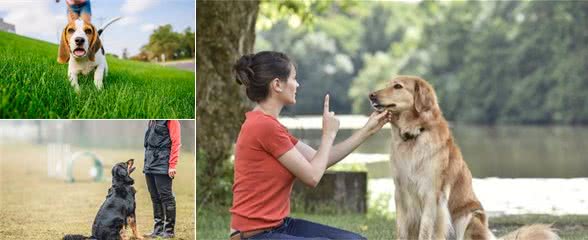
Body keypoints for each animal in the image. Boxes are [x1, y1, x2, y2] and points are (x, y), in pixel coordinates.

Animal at [370, 76, 560, 240]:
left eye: (398, 86)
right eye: (388, 84)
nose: (371, 95)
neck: (415, 135)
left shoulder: (431, 194)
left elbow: (425, 230)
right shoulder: (400, 193)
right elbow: (401, 230)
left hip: (469, 217)